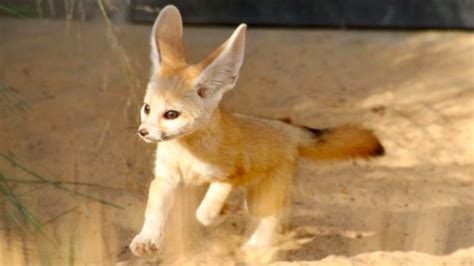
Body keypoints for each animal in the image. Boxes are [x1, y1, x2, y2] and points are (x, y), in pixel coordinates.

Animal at [130, 4, 386, 258]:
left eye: (171, 114)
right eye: (147, 108)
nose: (143, 132)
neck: (187, 154)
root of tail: (288, 129)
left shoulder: (228, 178)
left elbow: (205, 213)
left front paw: (223, 212)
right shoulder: (166, 179)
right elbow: (154, 211)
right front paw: (147, 238)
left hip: (261, 197)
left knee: (269, 218)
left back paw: (255, 247)